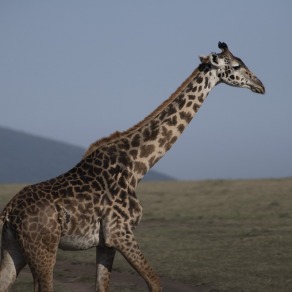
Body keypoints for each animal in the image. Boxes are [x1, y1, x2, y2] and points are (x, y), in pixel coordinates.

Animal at [0, 41, 264, 292]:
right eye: (236, 65)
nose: (260, 85)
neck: (137, 167)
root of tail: (8, 212)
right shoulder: (121, 232)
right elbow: (155, 282)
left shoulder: (105, 242)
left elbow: (102, 286)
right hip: (43, 248)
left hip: (15, 249)